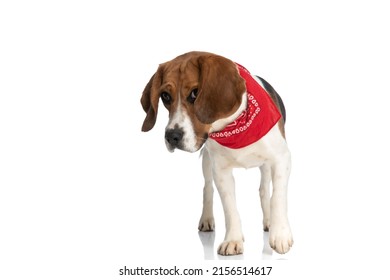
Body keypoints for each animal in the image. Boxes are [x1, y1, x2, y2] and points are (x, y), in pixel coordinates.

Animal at [140, 51, 292, 255]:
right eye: (165, 96)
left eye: (195, 93)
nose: (171, 136)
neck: (234, 127)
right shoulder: (220, 171)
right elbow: (230, 208)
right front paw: (233, 239)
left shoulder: (281, 159)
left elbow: (277, 198)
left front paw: (281, 235)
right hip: (207, 161)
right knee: (207, 188)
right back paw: (206, 219)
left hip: (266, 165)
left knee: (264, 190)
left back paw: (269, 221)